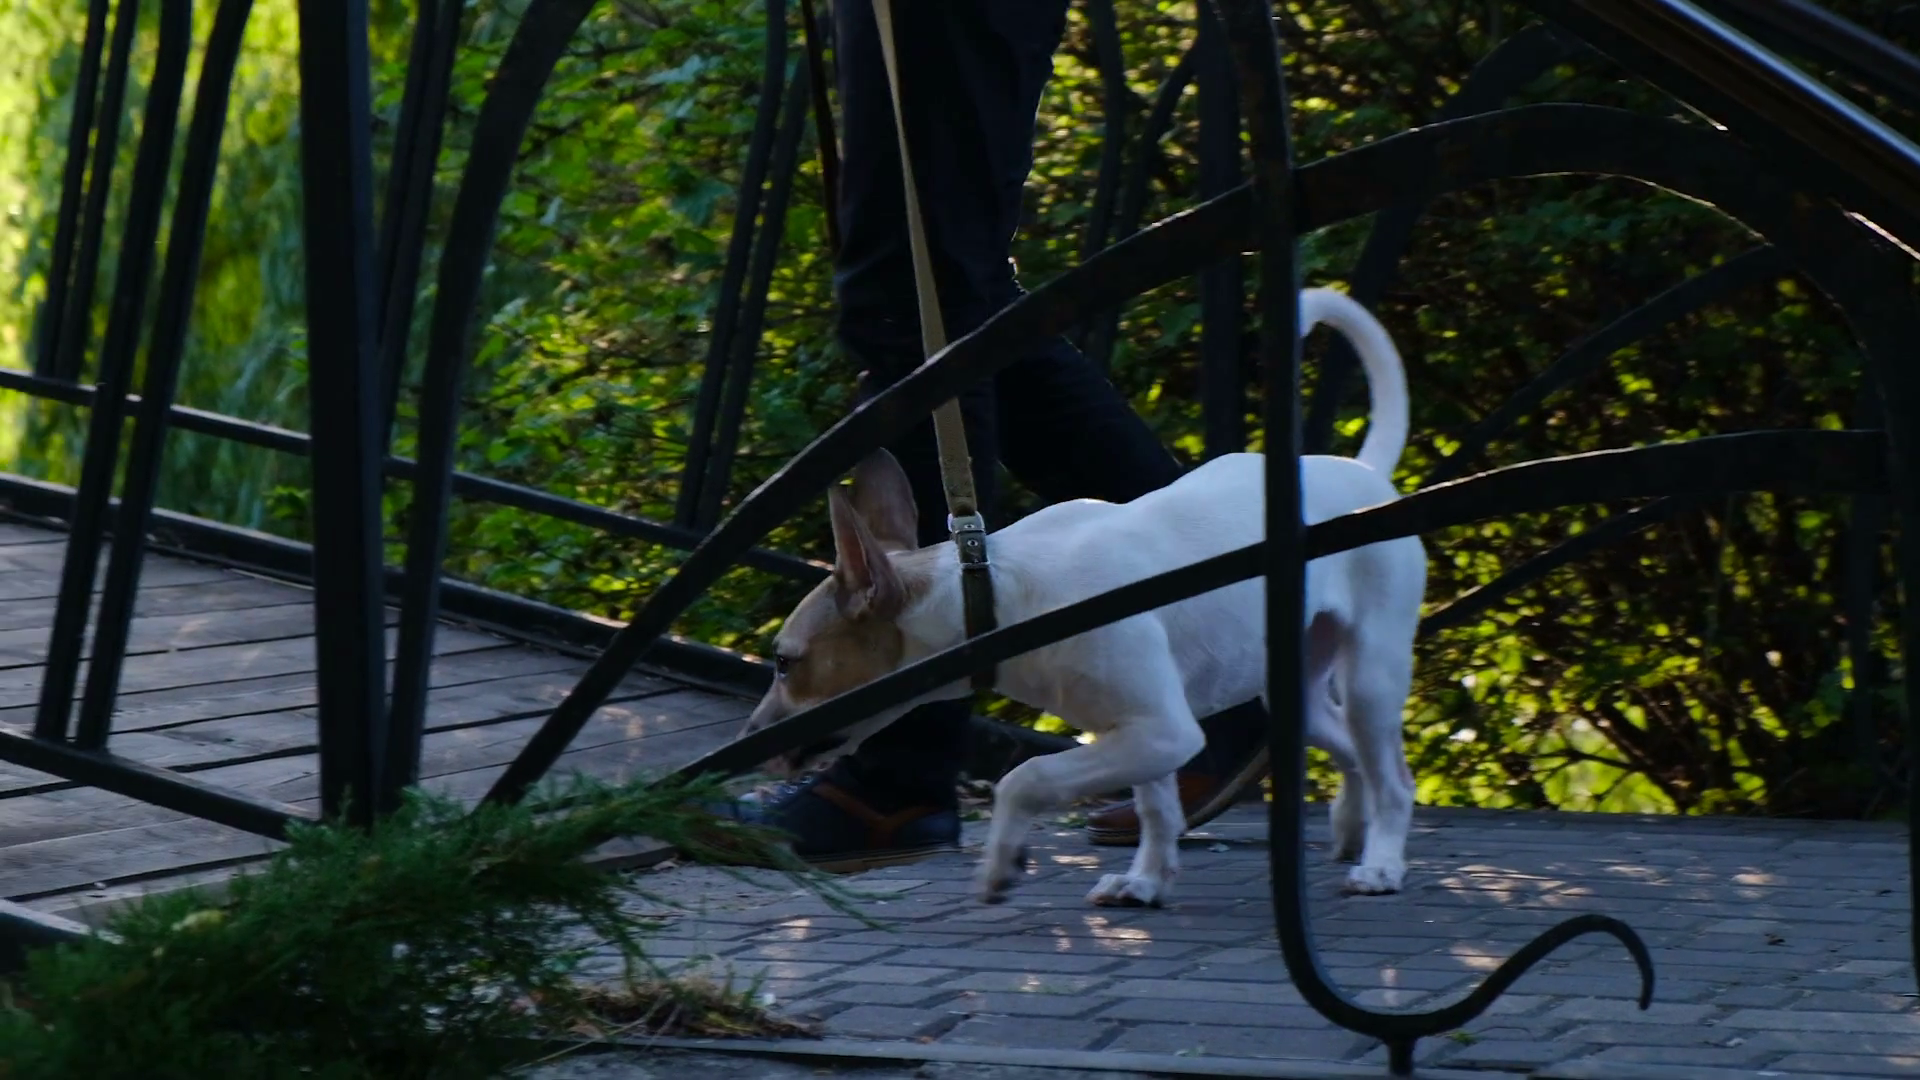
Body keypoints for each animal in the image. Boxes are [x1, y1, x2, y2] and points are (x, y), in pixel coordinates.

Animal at [741, 287, 1426, 906]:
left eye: (785, 662)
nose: (748, 740)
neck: (998, 598)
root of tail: (1364, 474)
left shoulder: (1162, 731)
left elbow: (1026, 776)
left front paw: (1003, 861)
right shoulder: (1134, 736)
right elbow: (1155, 809)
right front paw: (1146, 881)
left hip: (1371, 674)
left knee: (1395, 777)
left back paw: (1381, 864)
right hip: (1292, 685)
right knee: (1351, 752)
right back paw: (1350, 826)